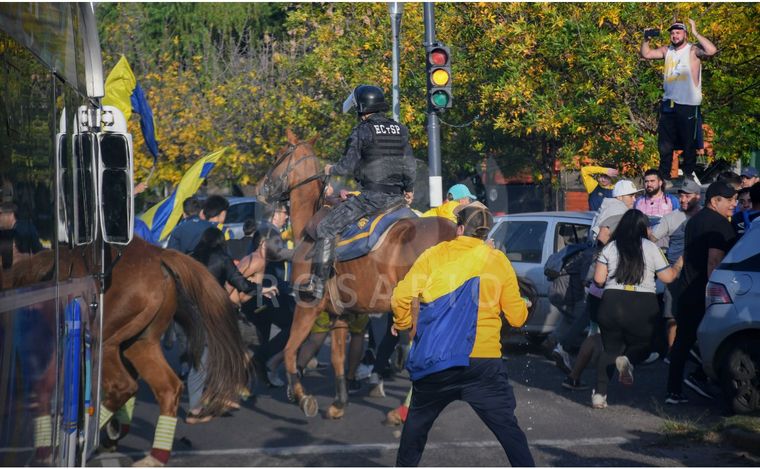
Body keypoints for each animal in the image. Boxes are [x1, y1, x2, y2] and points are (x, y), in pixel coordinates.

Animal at [11, 238, 249, 464]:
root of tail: (158, 254)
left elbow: (44, 385)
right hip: (142, 342)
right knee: (167, 387)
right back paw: (152, 457)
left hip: (106, 338)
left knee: (123, 385)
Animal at [258, 128, 454, 416]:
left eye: (278, 155)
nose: (260, 188)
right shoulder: (339, 314)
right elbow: (338, 358)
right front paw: (339, 402)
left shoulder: (307, 307)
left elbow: (290, 351)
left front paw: (302, 396)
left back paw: (402, 411)